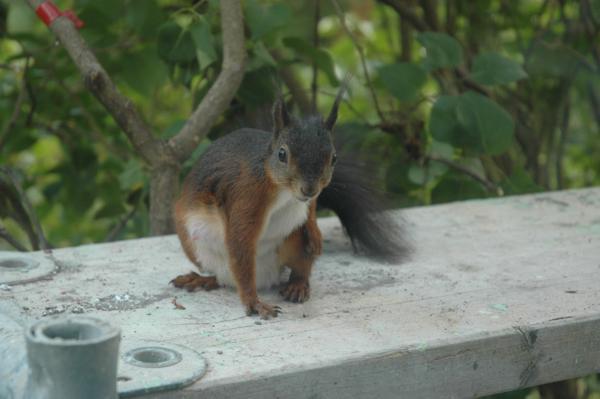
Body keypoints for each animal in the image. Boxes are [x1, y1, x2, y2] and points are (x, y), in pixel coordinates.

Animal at [171, 85, 410, 318]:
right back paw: (202, 279)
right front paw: (254, 302)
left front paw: (316, 233)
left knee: (300, 265)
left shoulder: (311, 197)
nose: (309, 188)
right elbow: (240, 242)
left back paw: (298, 284)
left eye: (334, 158)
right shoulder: (247, 194)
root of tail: (266, 277)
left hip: (293, 240)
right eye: (282, 154)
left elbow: (312, 207)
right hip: (194, 246)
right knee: (224, 276)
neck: (283, 190)